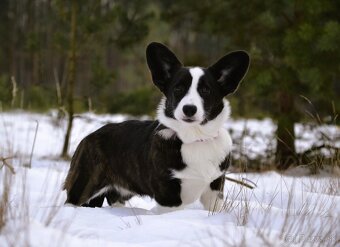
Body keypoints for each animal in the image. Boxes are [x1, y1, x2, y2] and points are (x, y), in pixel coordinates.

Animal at [63, 42, 250, 212]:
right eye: (178, 88)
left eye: (206, 90)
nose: (189, 109)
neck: (195, 138)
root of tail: (89, 137)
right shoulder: (169, 195)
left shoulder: (215, 188)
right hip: (83, 186)